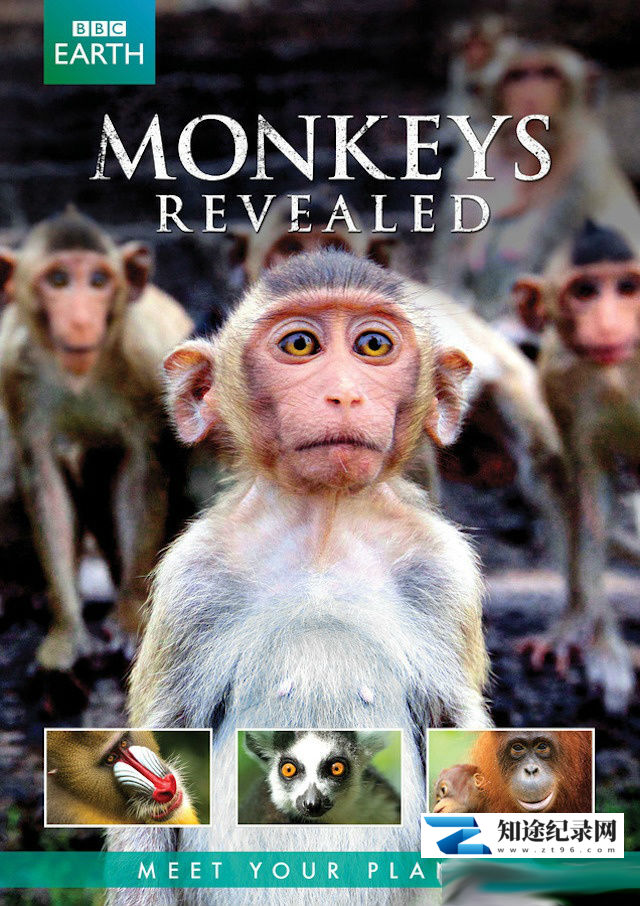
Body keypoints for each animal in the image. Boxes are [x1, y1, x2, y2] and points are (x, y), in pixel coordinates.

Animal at [0, 208, 195, 670]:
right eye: (57, 281)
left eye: (98, 281)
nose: (80, 319)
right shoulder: (13, 370)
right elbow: (43, 478)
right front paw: (66, 632)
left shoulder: (145, 361)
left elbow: (142, 471)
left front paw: (128, 622)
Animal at [515, 218, 640, 712]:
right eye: (585, 291)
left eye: (627, 287)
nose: (608, 323)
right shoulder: (559, 378)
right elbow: (590, 497)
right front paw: (602, 649)